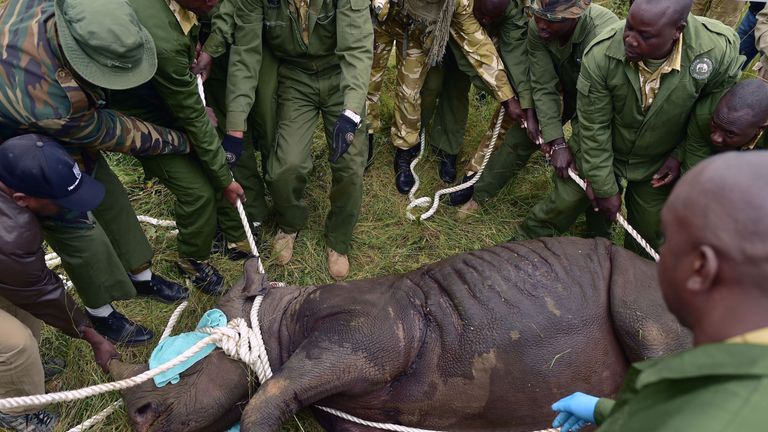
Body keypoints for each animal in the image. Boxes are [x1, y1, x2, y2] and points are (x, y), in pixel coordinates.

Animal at [111, 238, 692, 430]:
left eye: (189, 361)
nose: (137, 417)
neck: (274, 319)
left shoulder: (376, 328)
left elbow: (267, 396)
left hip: (641, 278)